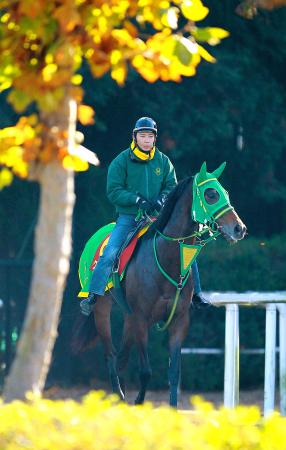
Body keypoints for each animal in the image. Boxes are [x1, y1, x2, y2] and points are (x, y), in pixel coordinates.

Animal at [72, 163, 246, 408]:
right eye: (210, 194)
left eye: (226, 193)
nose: (239, 228)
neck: (165, 259)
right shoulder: (141, 319)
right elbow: (146, 371)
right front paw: (138, 402)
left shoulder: (179, 320)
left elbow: (174, 372)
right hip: (102, 310)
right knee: (110, 356)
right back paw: (119, 397)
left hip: (128, 317)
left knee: (122, 358)